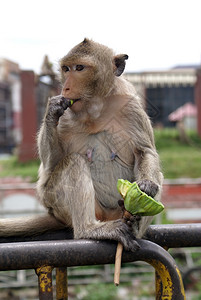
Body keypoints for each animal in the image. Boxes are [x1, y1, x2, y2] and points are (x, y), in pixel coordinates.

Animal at [0, 38, 163, 251]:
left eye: (79, 68)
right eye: (66, 69)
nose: (66, 88)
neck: (96, 109)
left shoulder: (130, 105)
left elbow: (144, 151)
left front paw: (145, 187)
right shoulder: (66, 116)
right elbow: (50, 166)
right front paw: (52, 111)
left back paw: (133, 223)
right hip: (58, 204)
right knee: (73, 162)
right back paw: (90, 229)